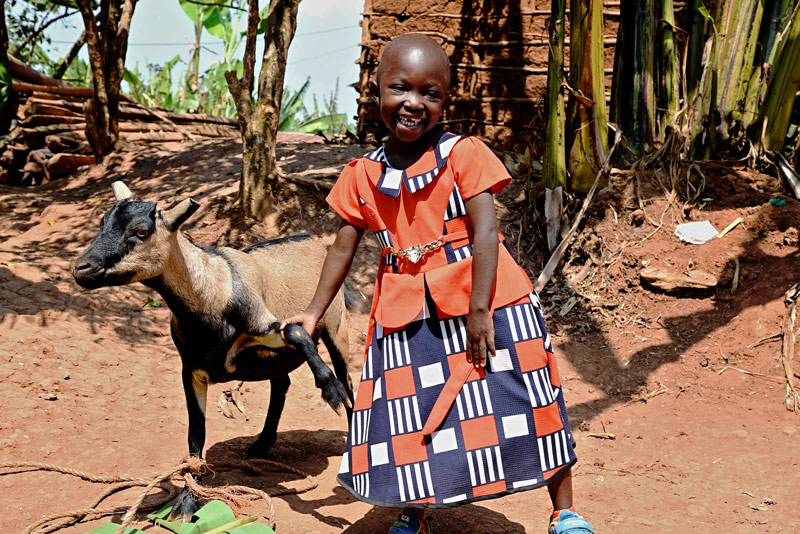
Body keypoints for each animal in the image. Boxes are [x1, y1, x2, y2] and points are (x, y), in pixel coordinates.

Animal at [72, 182, 354, 520]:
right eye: (103, 222)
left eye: (141, 231)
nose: (82, 268)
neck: (213, 291)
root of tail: (312, 239)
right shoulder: (192, 369)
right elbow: (196, 434)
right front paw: (186, 501)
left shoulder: (262, 323)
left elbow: (296, 331)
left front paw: (331, 392)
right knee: (281, 384)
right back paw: (260, 446)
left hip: (337, 325)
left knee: (346, 377)